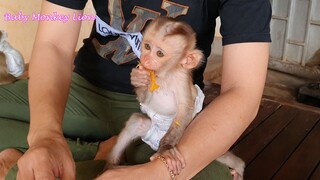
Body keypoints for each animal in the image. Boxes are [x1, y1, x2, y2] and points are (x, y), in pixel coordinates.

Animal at [106, 16, 244, 179]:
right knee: (137, 121)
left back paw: (239, 168)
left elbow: (184, 109)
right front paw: (138, 78)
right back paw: (110, 165)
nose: (145, 59)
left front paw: (166, 149)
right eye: (147, 46)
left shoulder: (181, 80)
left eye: (159, 53)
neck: (166, 74)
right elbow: (145, 101)